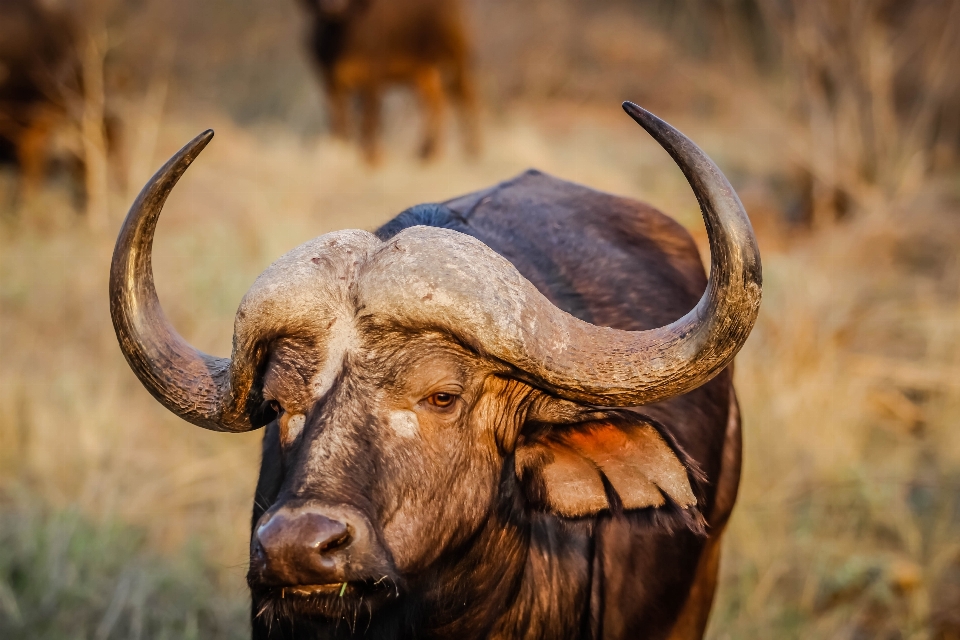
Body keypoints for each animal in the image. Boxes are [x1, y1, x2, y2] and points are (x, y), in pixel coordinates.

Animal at [296, 0, 480, 162]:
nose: (333, 4)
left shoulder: (372, 78)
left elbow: (369, 118)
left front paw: (373, 159)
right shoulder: (329, 81)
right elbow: (338, 120)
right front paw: (341, 150)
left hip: (456, 60)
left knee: (466, 97)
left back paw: (473, 151)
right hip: (423, 73)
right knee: (436, 103)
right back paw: (427, 153)